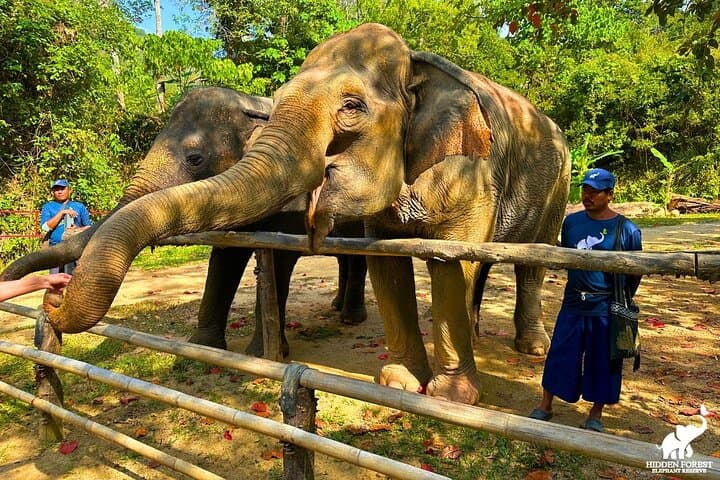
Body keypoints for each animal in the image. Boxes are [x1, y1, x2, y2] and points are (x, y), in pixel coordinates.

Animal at [2, 87, 367, 355]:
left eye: (194, 159)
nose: (53, 296)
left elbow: (278, 260)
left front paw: (261, 354)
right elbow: (224, 259)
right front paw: (204, 348)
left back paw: (351, 319)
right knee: (345, 257)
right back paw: (338, 308)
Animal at [42, 23, 570, 405]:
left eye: (194, 158)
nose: (52, 295)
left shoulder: (471, 171)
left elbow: (447, 263)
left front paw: (450, 398)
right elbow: (376, 261)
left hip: (558, 188)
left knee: (529, 263)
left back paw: (530, 348)